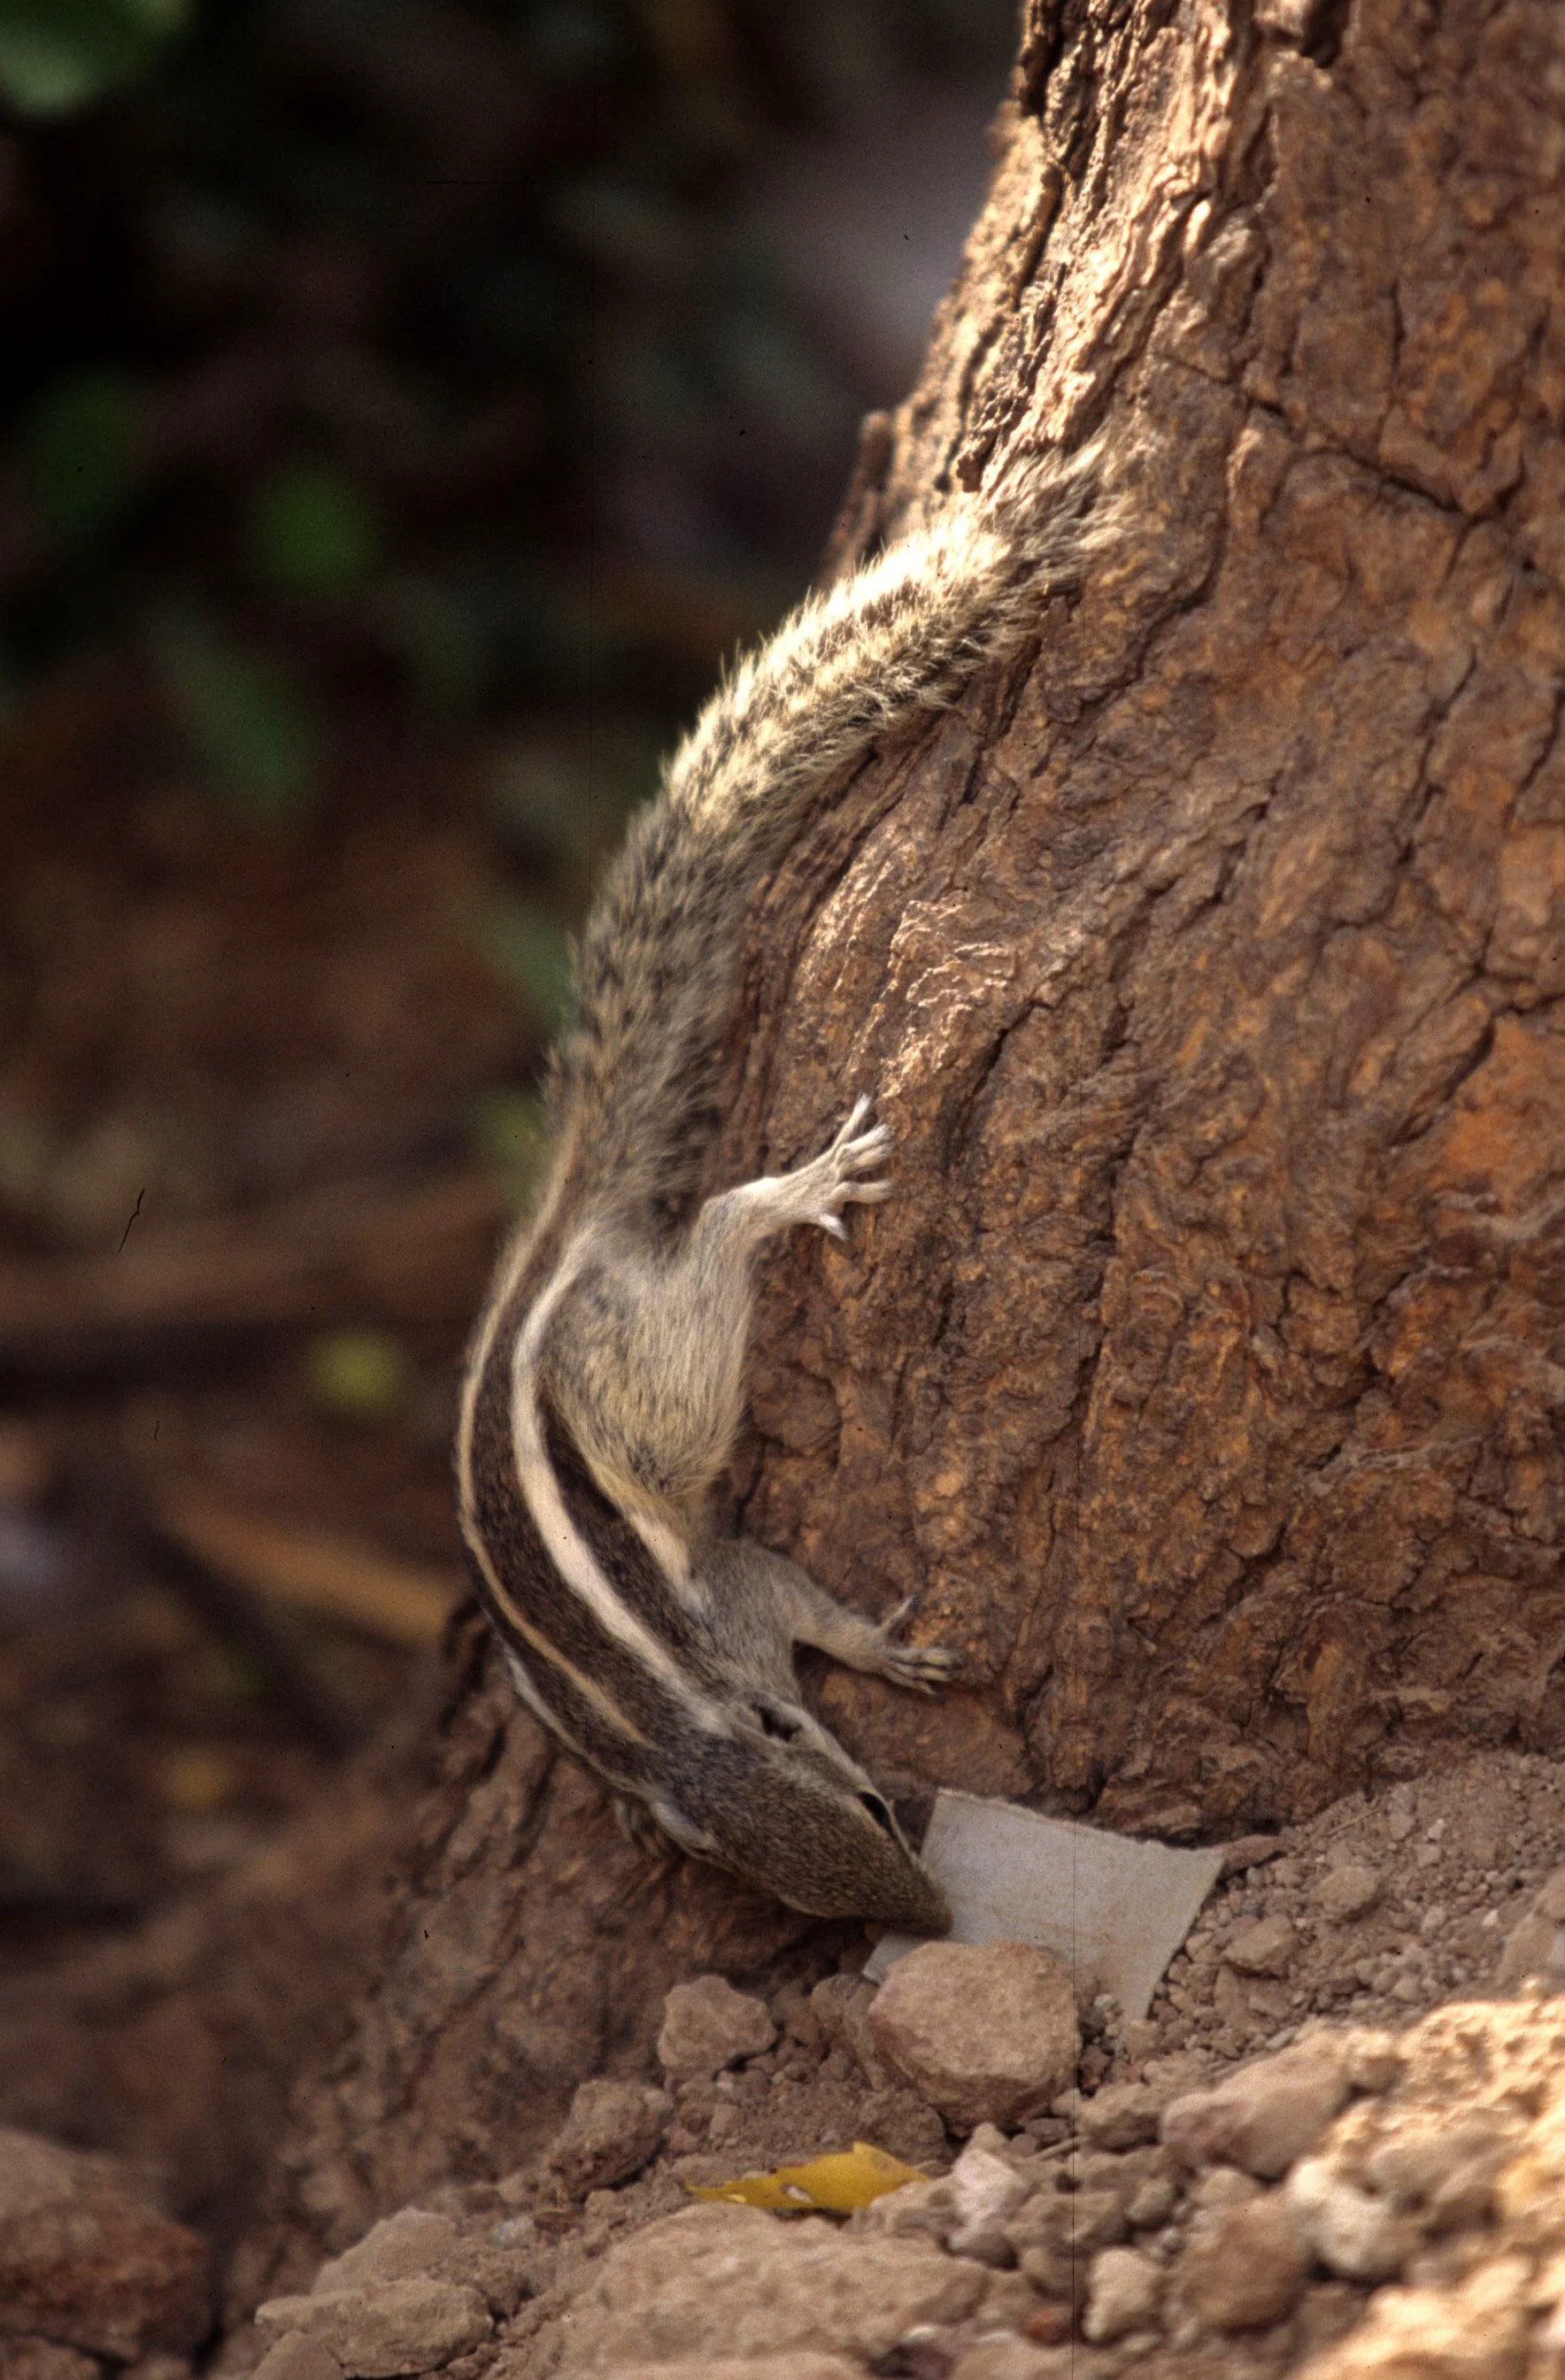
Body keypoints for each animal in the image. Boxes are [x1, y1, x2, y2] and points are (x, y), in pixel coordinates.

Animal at [456, 441, 1115, 1935]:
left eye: (874, 1804)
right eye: (818, 1901)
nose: (930, 1920)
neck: (676, 1721)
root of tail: (550, 1250)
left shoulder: (740, 1603)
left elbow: (803, 1603)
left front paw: (884, 1652)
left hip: (650, 1368)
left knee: (706, 1237)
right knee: (705, 1240)